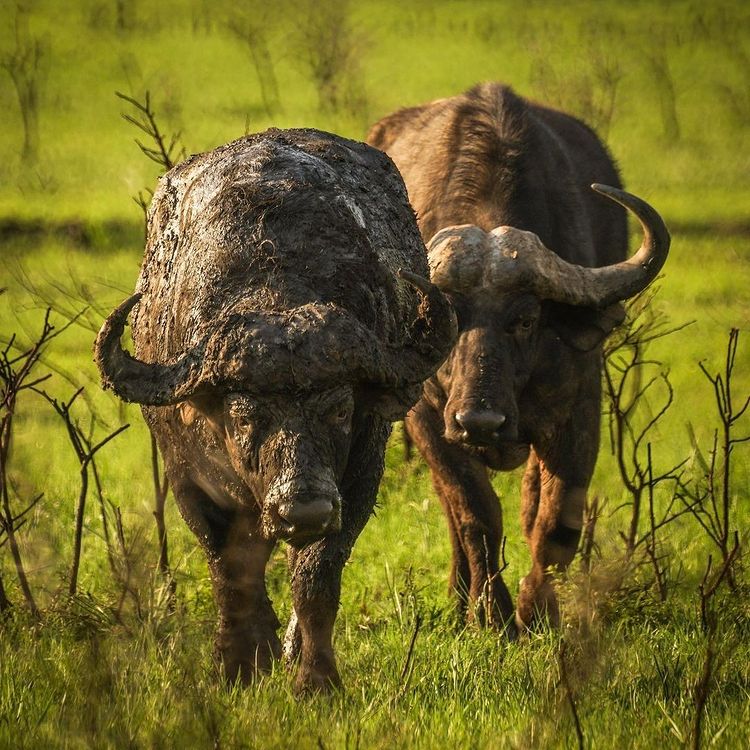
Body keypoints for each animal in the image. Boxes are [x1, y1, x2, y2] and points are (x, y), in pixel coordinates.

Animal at [95, 129, 456, 691]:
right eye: (244, 416)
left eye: (340, 411)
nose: (302, 507)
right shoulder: (188, 479)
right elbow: (230, 571)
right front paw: (239, 665)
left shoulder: (357, 479)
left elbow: (315, 578)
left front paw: (315, 679)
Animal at [367, 82, 670, 633]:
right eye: (445, 316)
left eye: (527, 319)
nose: (480, 421)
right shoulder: (428, 419)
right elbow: (474, 512)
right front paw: (490, 613)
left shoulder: (578, 411)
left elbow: (555, 519)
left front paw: (536, 612)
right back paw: (459, 594)